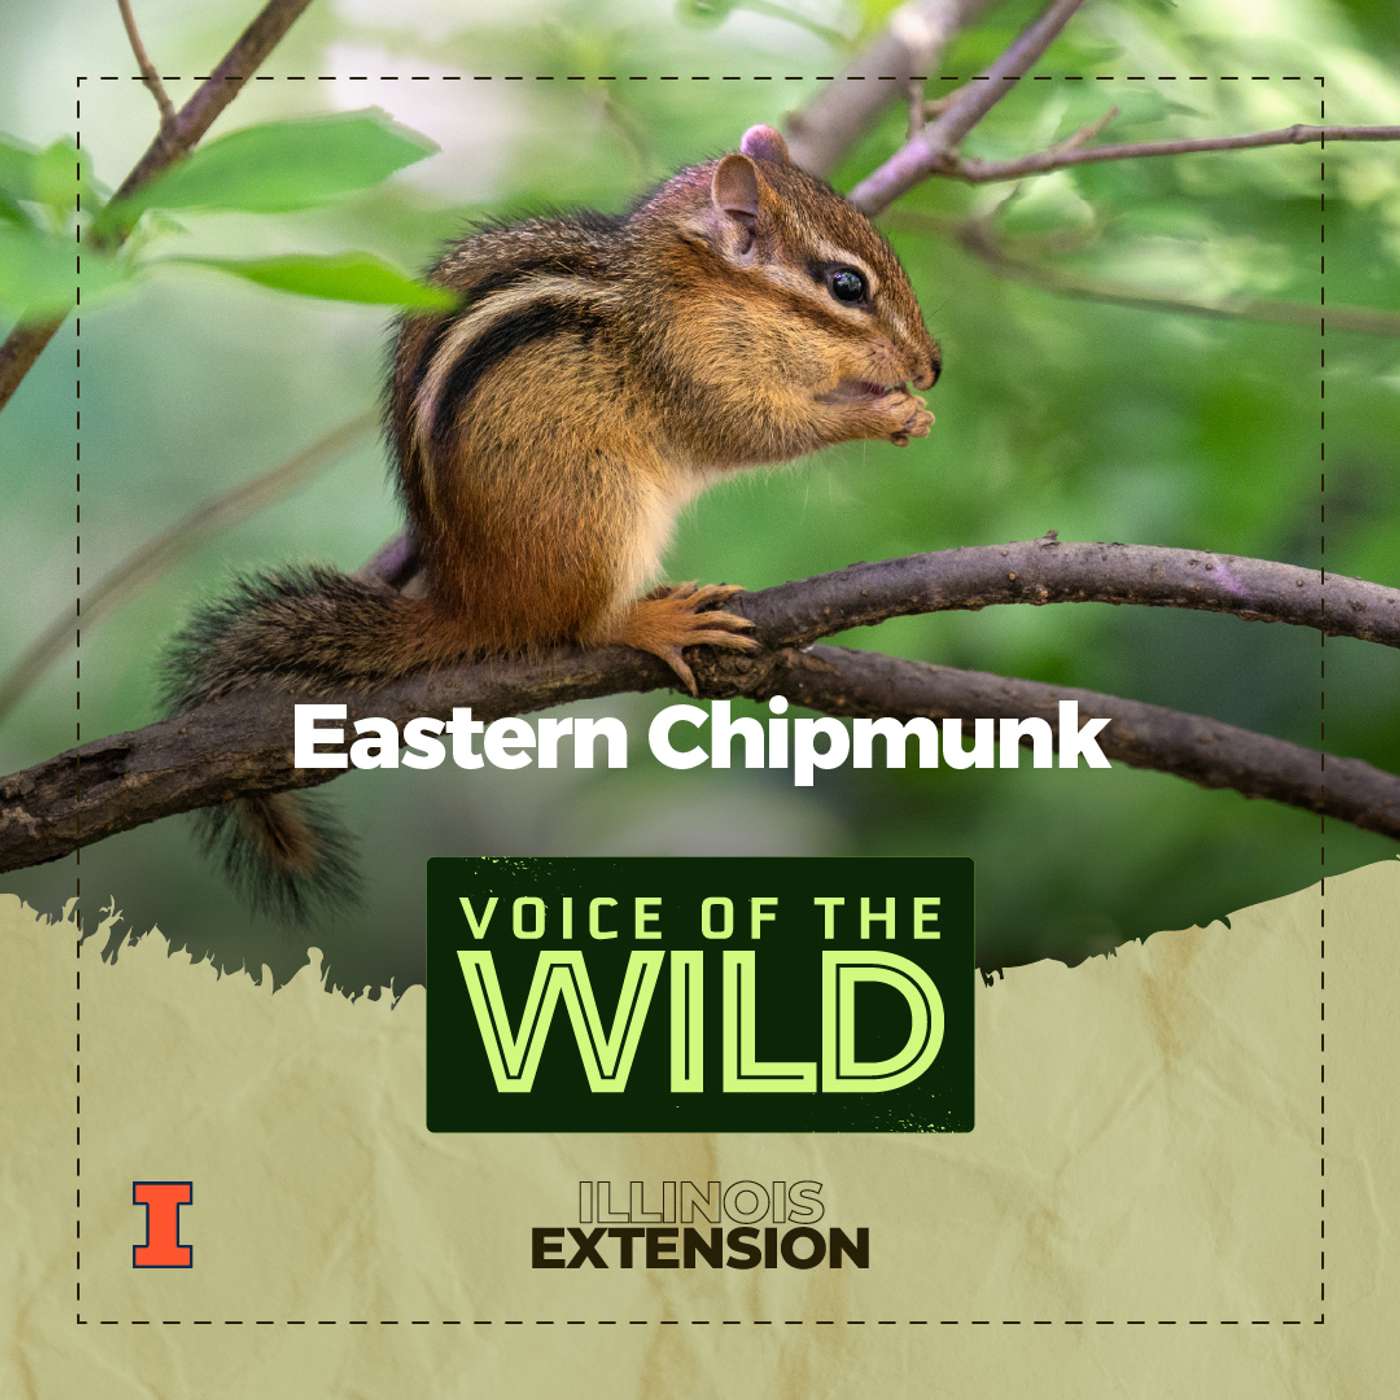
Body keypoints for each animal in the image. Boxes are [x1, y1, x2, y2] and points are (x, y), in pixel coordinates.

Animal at [162, 124, 940, 921]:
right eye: (846, 286)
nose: (932, 366)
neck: (704, 290)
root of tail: (475, 604)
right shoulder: (697, 376)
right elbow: (758, 433)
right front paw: (882, 413)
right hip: (600, 509)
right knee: (585, 625)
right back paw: (654, 621)